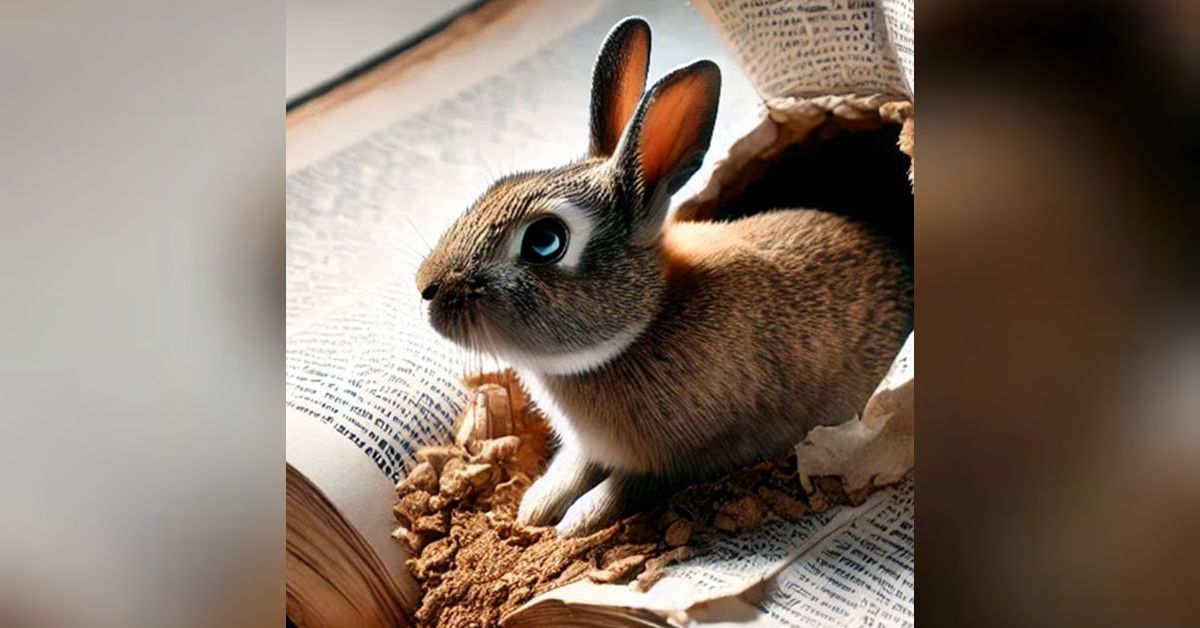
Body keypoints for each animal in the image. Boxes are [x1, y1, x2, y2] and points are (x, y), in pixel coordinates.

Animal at [415, 17, 913, 537]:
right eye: (499, 185)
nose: (425, 287)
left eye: (545, 241)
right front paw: (535, 507)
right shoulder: (590, 448)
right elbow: (571, 467)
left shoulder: (683, 459)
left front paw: (572, 523)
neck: (642, 324)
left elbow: (623, 489)